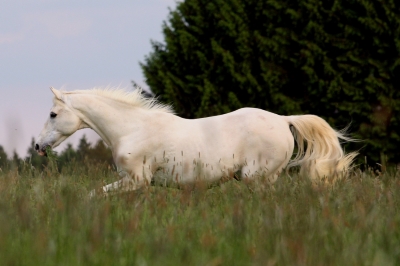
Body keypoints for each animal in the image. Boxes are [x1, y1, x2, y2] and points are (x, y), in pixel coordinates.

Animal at [36, 87, 358, 195]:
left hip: (258, 178)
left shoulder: (135, 180)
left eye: (53, 114)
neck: (132, 129)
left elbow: (93, 195)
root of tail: (282, 119)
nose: (38, 146)